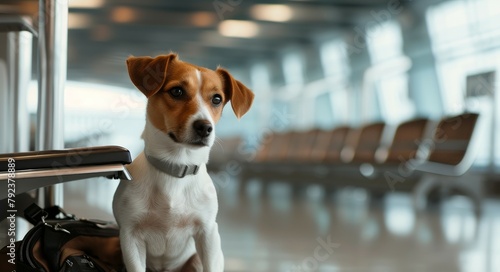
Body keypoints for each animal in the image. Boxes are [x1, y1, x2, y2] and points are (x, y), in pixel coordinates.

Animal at [113, 53, 254, 272]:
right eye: (177, 91)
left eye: (217, 99)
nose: (205, 127)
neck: (176, 167)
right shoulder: (130, 236)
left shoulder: (208, 233)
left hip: (196, 259)